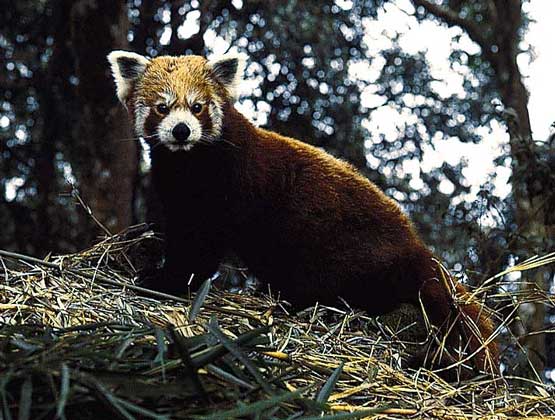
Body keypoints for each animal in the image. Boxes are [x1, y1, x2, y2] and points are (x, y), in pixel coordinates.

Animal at [108, 50, 500, 376]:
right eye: (162, 107)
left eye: (198, 106)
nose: (181, 130)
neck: (189, 163)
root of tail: (415, 246)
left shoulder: (230, 185)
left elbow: (201, 246)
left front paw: (166, 280)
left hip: (340, 248)